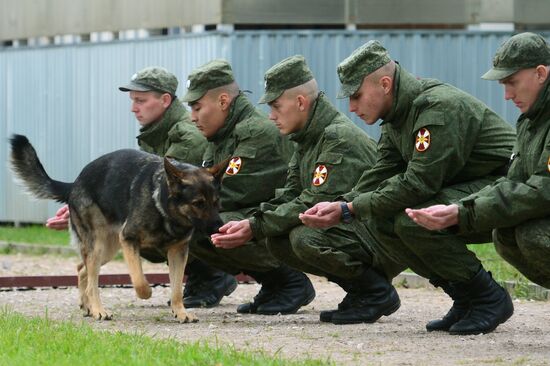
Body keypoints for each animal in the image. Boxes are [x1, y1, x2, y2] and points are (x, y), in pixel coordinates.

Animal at [9, 135, 224, 324]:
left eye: (216, 202)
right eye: (198, 203)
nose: (219, 227)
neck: (163, 206)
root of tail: (74, 183)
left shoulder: (178, 252)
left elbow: (177, 288)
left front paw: (181, 312)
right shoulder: (129, 240)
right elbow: (139, 281)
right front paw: (148, 292)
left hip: (107, 250)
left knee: (82, 269)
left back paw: (88, 306)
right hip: (100, 247)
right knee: (92, 282)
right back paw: (99, 310)